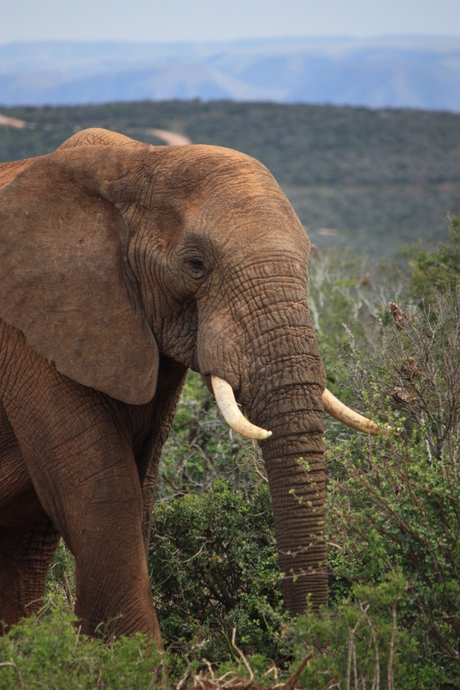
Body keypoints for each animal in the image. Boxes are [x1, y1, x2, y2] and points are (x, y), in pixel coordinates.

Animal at [0, 126, 378, 644]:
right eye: (196, 265)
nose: (306, 645)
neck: (136, 164)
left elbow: (139, 490)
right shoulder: (31, 332)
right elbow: (103, 494)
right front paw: (134, 658)